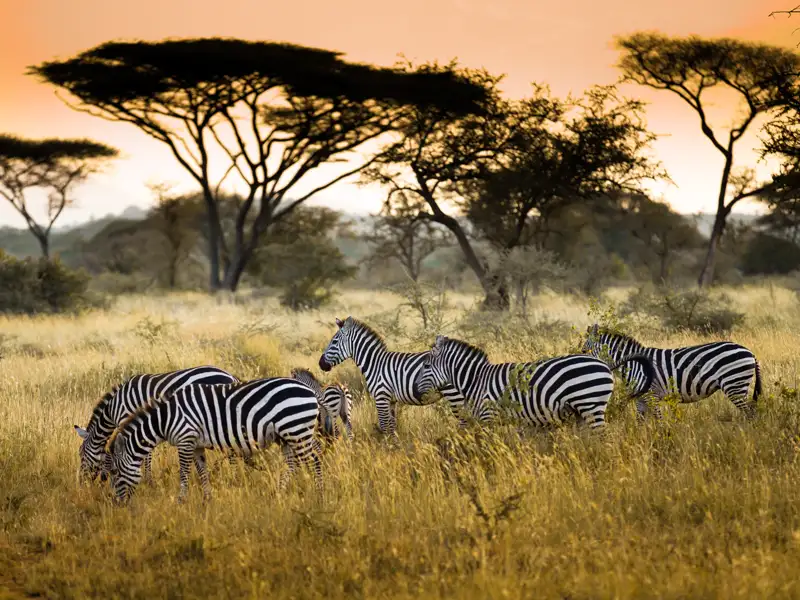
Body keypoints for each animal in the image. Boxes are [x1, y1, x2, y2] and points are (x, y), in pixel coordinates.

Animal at [74, 366, 239, 483]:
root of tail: (230, 376)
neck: (113, 407)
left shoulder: (127, 419)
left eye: (81, 453)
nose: (81, 482)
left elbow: (142, 453)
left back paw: (234, 476)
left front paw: (146, 479)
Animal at [107, 378, 322, 504]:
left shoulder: (185, 439)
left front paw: (181, 500)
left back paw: (318, 495)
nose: (116, 503)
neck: (165, 418)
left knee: (314, 459)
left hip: (296, 429)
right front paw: (207, 499)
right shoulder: (196, 445)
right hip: (286, 435)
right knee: (293, 464)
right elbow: (202, 471)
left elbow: (184, 473)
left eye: (114, 472)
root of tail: (309, 390)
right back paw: (277, 493)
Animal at [318, 316, 466, 435]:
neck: (375, 364)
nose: (320, 363)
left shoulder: (381, 397)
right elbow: (392, 427)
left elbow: (385, 427)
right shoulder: (391, 401)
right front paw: (396, 447)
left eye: (334, 342)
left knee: (465, 423)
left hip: (455, 395)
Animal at [412, 335, 655, 430]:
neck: (476, 380)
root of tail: (604, 364)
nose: (415, 390)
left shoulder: (489, 417)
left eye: (426, 366)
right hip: (583, 410)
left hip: (590, 404)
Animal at [582, 324, 762, 419]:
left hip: (734, 385)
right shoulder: (641, 399)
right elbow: (640, 422)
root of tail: (750, 352)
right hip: (738, 385)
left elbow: (659, 421)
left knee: (751, 414)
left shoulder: (652, 395)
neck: (633, 364)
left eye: (583, 351)